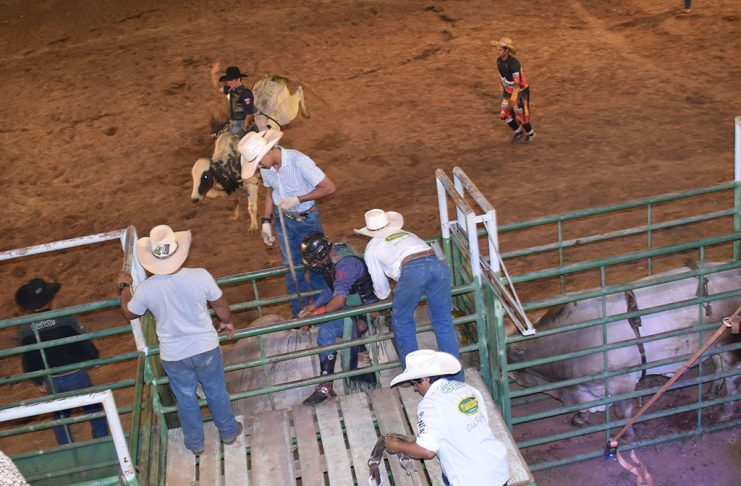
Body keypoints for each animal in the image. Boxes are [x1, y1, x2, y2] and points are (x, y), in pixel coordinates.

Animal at [508, 263, 740, 438]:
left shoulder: (623, 381)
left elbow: (622, 411)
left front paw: (625, 436)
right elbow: (584, 407)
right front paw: (580, 418)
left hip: (729, 344)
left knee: (731, 379)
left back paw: (724, 412)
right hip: (714, 345)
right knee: (718, 367)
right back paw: (710, 393)